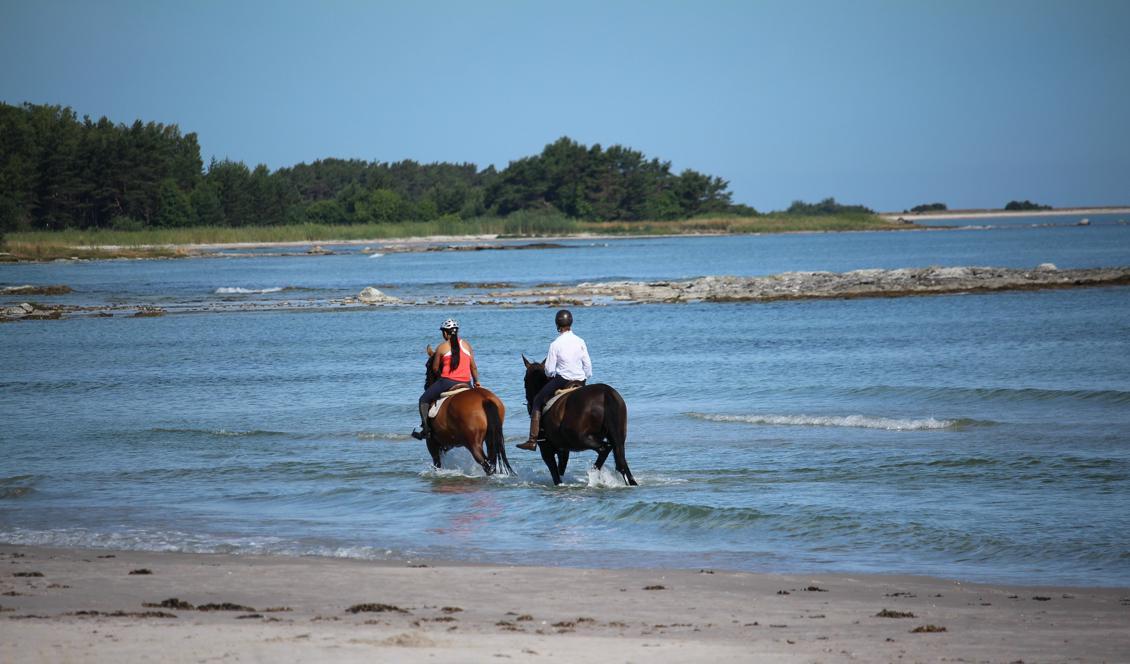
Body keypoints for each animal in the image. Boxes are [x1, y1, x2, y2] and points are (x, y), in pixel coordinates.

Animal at [424, 347, 513, 476]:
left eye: (427, 365)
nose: (426, 385)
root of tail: (484, 399)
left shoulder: (432, 443)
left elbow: (437, 463)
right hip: (490, 437)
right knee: (491, 460)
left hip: (473, 444)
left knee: (486, 464)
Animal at [519, 354, 637, 485]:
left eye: (524, 379)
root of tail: (606, 394)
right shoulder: (563, 449)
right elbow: (561, 469)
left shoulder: (546, 449)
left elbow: (555, 474)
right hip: (617, 436)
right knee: (620, 458)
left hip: (581, 438)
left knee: (605, 449)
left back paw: (593, 473)